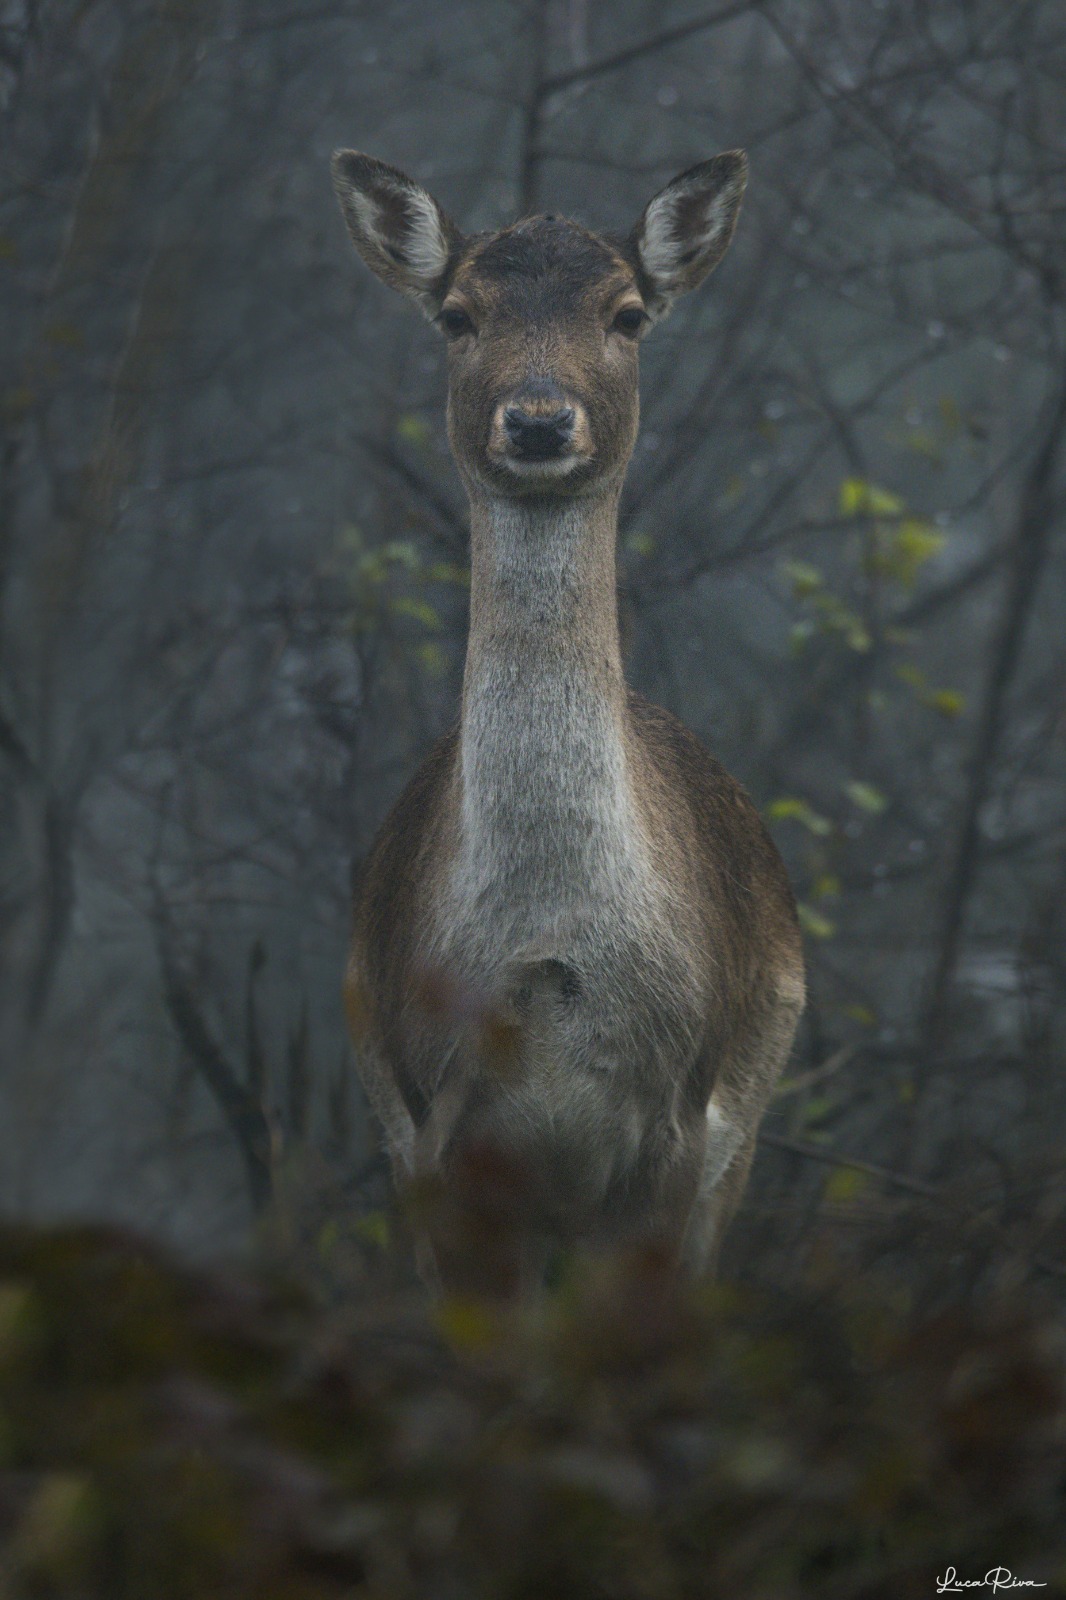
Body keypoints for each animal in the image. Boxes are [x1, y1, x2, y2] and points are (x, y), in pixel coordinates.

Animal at [331, 148, 805, 1297]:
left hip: (747, 1128)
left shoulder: (679, 1129)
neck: (552, 957)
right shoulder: (436, 1135)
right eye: (458, 314)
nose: (539, 418)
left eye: (626, 312)